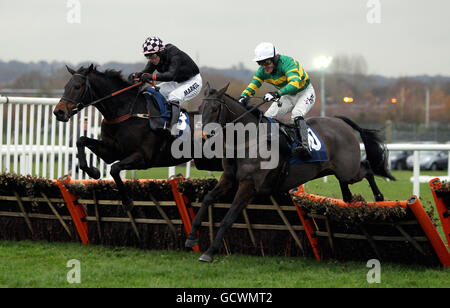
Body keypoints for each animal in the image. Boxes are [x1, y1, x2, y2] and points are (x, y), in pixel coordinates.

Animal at [53, 64, 222, 209]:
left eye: (77, 86)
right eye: (65, 86)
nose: (58, 112)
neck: (127, 112)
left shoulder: (143, 158)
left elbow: (114, 169)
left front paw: (127, 201)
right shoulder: (111, 152)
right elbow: (81, 140)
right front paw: (93, 171)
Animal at [185, 83, 396, 262]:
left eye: (214, 109)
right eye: (199, 109)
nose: (204, 136)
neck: (246, 140)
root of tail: (340, 122)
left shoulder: (249, 185)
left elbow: (228, 218)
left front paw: (209, 252)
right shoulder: (228, 179)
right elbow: (207, 199)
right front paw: (191, 237)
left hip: (349, 170)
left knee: (367, 167)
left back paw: (379, 197)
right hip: (338, 169)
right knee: (347, 182)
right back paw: (348, 198)